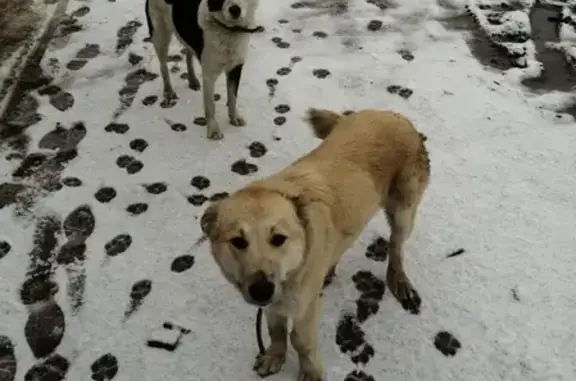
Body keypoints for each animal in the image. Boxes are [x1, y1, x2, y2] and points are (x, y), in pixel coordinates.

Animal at [146, 0, 260, 140]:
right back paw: (169, 91)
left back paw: (192, 80)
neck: (228, 29)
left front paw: (234, 118)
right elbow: (210, 104)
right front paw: (213, 129)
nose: (235, 10)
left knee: (188, 54)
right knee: (163, 66)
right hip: (160, 34)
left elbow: (233, 97)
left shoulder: (236, 67)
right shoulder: (209, 74)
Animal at [200, 107, 430, 380]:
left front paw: (309, 371)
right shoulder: (277, 300)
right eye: (237, 241)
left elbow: (300, 339)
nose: (261, 290)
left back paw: (398, 278)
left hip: (404, 213)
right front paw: (275, 355)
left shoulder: (303, 303)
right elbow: (276, 329)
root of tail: (393, 114)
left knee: (396, 248)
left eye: (278, 238)